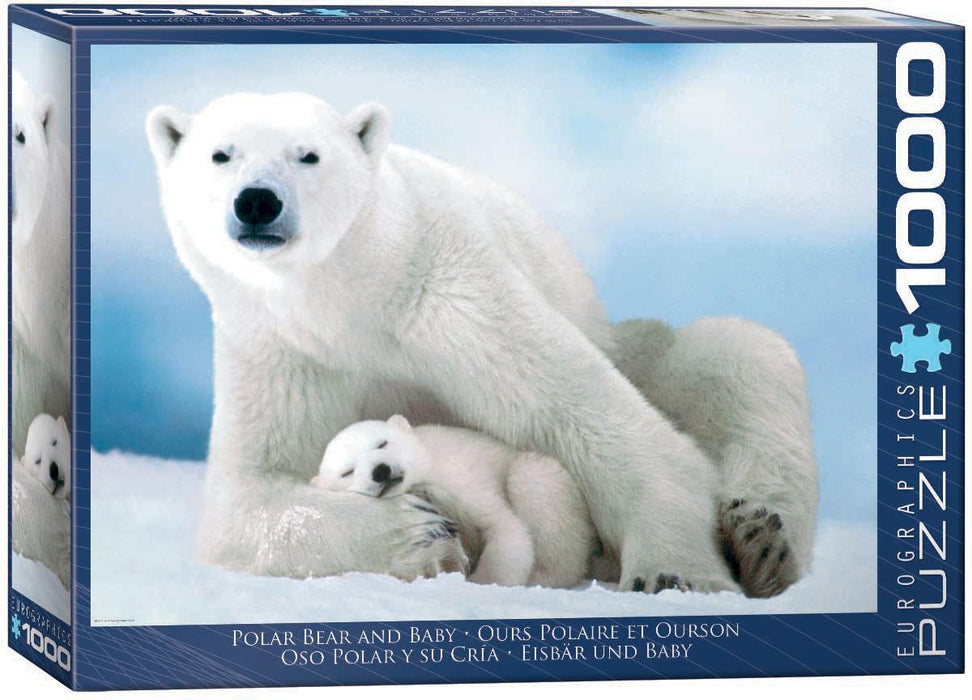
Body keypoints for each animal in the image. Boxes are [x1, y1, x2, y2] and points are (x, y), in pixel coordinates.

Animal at [314, 415, 597, 588]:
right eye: (347, 471)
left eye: (382, 442)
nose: (380, 471)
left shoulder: (460, 476)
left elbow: (503, 527)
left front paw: (485, 582)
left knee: (532, 477)